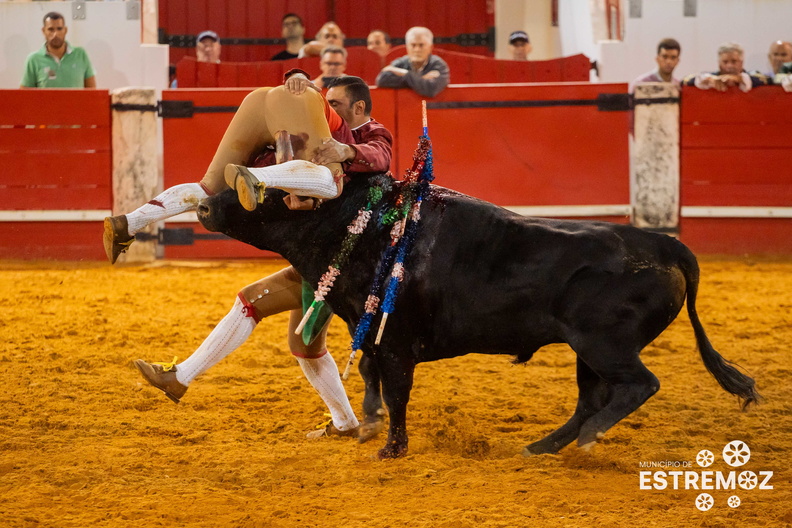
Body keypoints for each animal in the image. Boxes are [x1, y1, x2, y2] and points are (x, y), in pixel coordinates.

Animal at [196, 173, 756, 458]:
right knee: (591, 399)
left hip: (604, 345)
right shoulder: (370, 333)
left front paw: (392, 447)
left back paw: (587, 438)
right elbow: (373, 381)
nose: (204, 206)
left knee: (637, 386)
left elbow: (396, 391)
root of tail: (663, 244)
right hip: (588, 353)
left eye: (267, 190)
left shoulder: (395, 342)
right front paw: (371, 425)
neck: (366, 225)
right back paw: (544, 446)